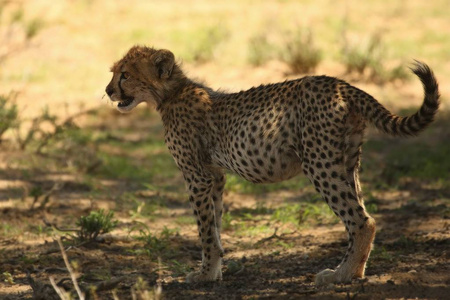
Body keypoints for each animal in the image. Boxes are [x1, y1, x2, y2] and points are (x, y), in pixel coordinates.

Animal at [104, 45, 440, 284]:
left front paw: (203, 275)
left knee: (361, 220)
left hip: (319, 163)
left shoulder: (196, 176)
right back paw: (353, 271)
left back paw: (341, 276)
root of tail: (338, 83)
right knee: (361, 214)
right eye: (115, 72)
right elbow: (215, 223)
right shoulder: (215, 176)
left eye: (125, 74)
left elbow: (204, 228)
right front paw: (213, 271)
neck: (170, 92)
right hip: (347, 161)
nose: (108, 90)